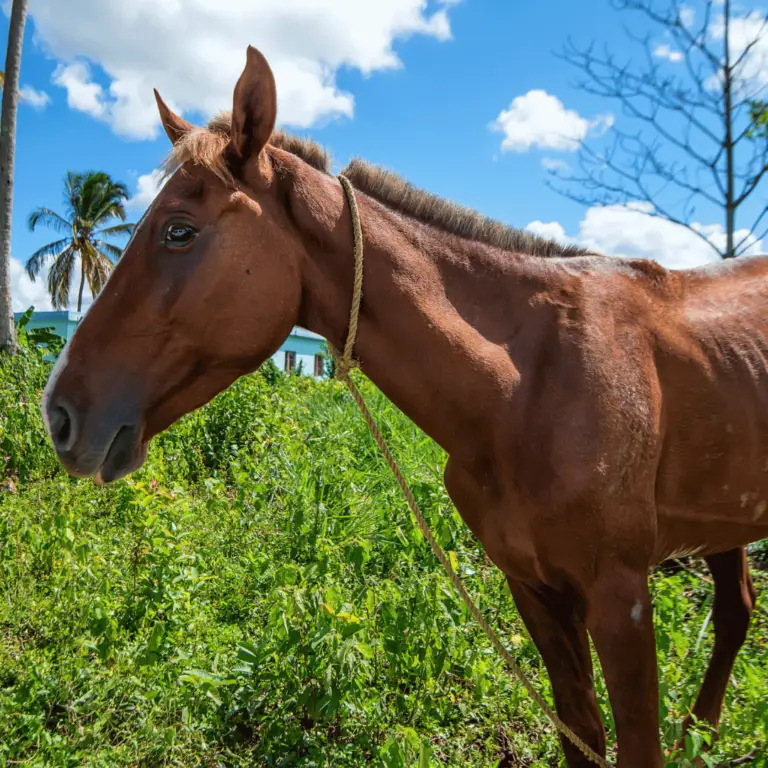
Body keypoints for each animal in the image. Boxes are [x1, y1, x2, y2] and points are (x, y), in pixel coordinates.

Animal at [40, 45, 768, 764]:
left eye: (179, 232)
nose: (60, 414)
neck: (529, 385)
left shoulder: (621, 601)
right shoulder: (533, 590)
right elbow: (582, 733)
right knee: (736, 610)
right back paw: (701, 738)